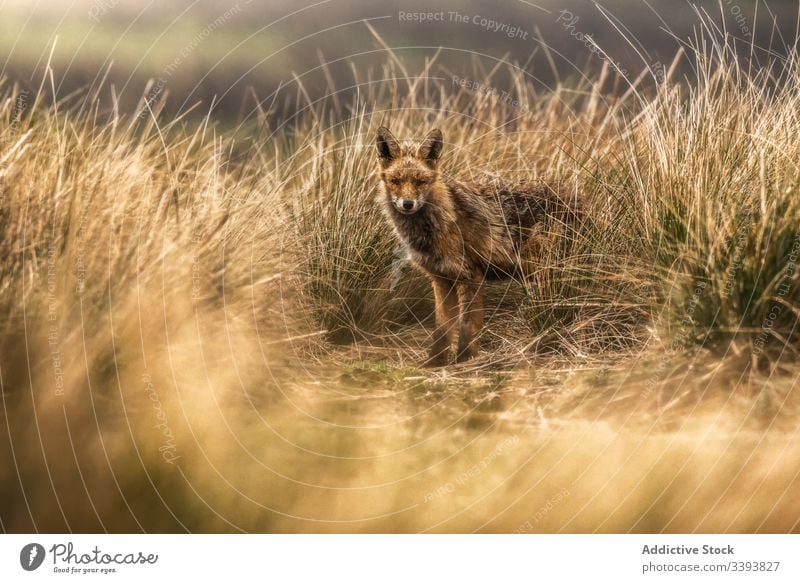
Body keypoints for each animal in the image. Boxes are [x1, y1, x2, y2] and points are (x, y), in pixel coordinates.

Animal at [376, 127, 580, 368]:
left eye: (420, 182)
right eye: (395, 181)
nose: (407, 204)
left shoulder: (470, 276)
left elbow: (467, 325)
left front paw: (465, 360)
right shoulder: (441, 279)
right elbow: (442, 328)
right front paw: (435, 362)